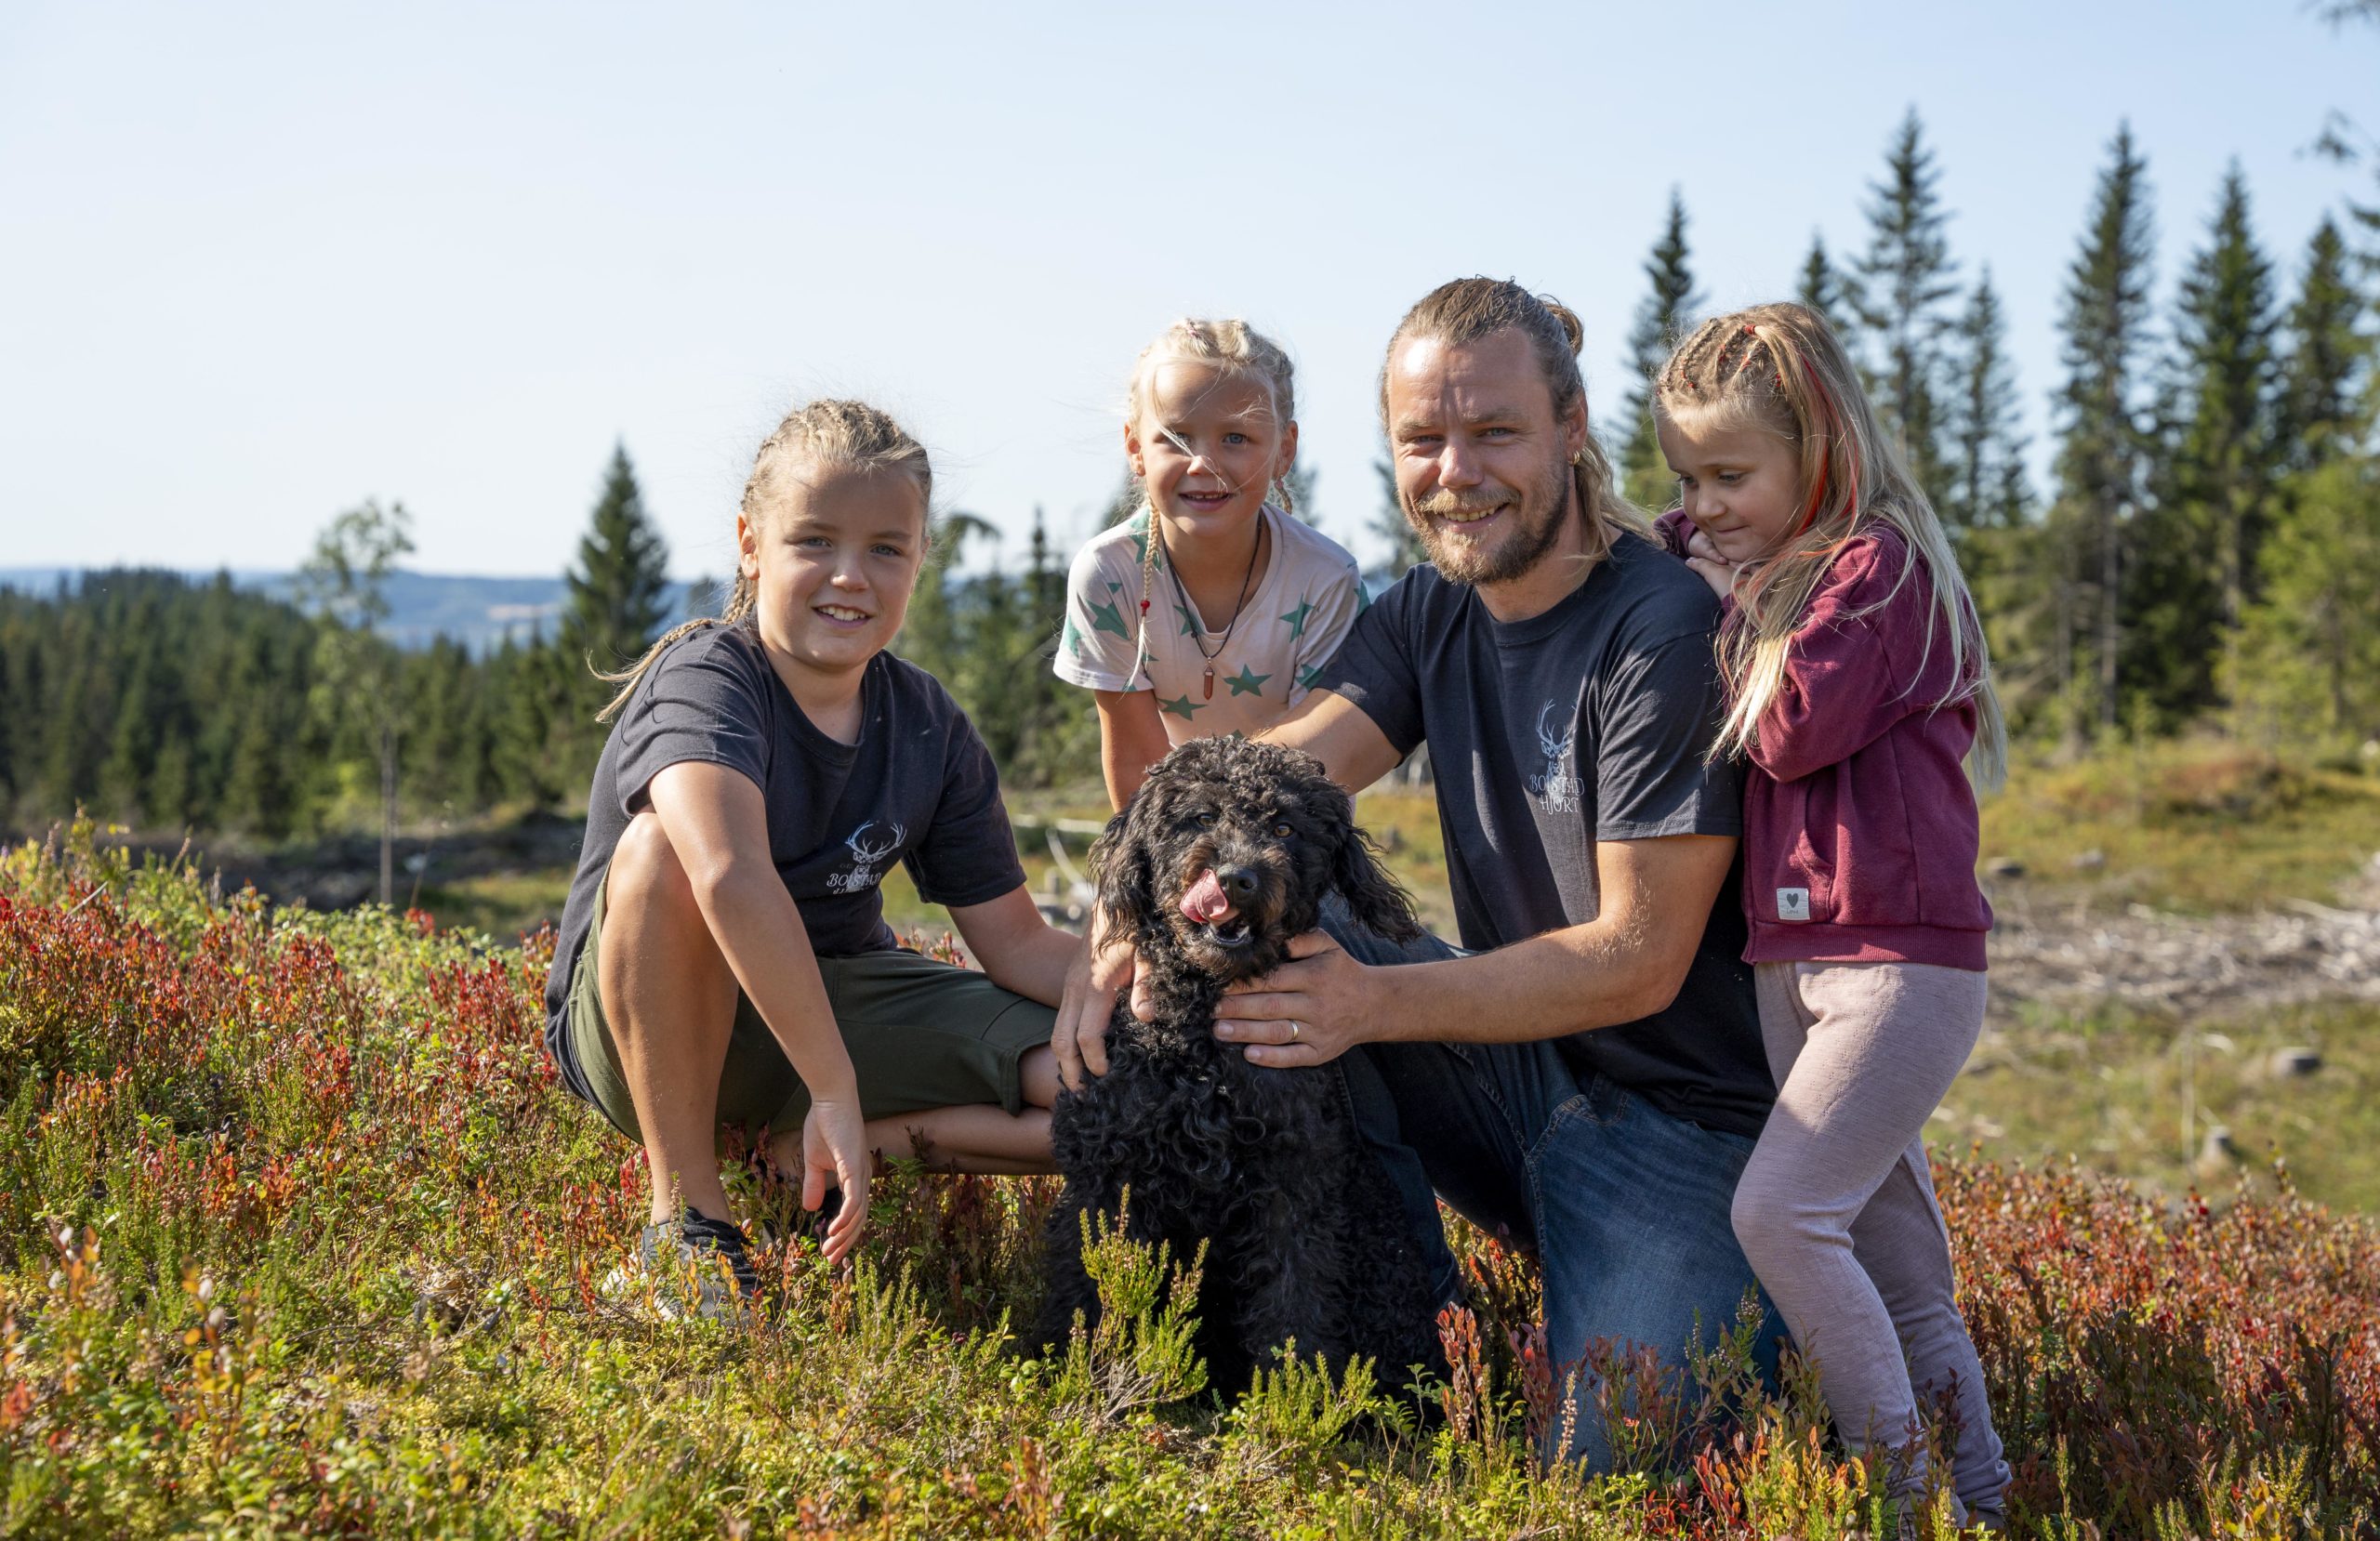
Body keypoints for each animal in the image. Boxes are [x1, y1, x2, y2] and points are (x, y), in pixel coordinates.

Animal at [1042, 737, 1447, 1398]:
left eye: (1285, 827)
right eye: (1201, 816)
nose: (1237, 877)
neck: (1201, 1045)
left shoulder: (1291, 1187)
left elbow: (1294, 1304)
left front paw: (1291, 1398)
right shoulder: (1106, 1179)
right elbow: (1090, 1290)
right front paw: (1076, 1365)